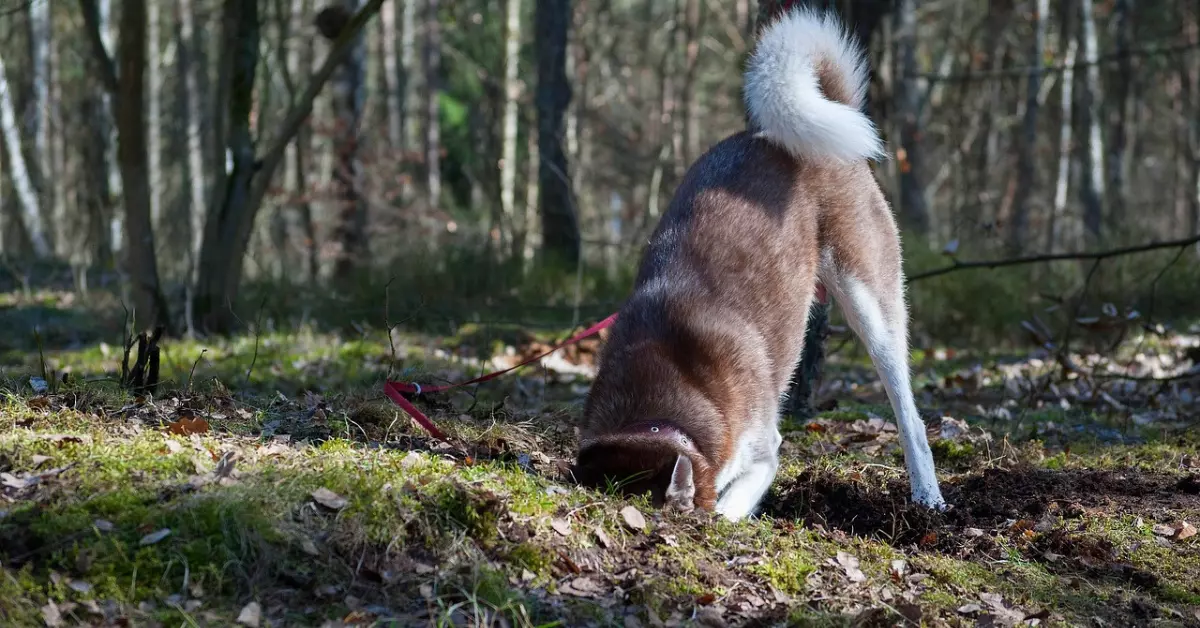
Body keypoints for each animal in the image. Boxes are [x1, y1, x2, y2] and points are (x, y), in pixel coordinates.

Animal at [571, 7, 945, 521]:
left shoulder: (763, 448)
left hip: (871, 305)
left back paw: (929, 498)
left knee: (911, 419)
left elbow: (731, 502)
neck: (656, 409)